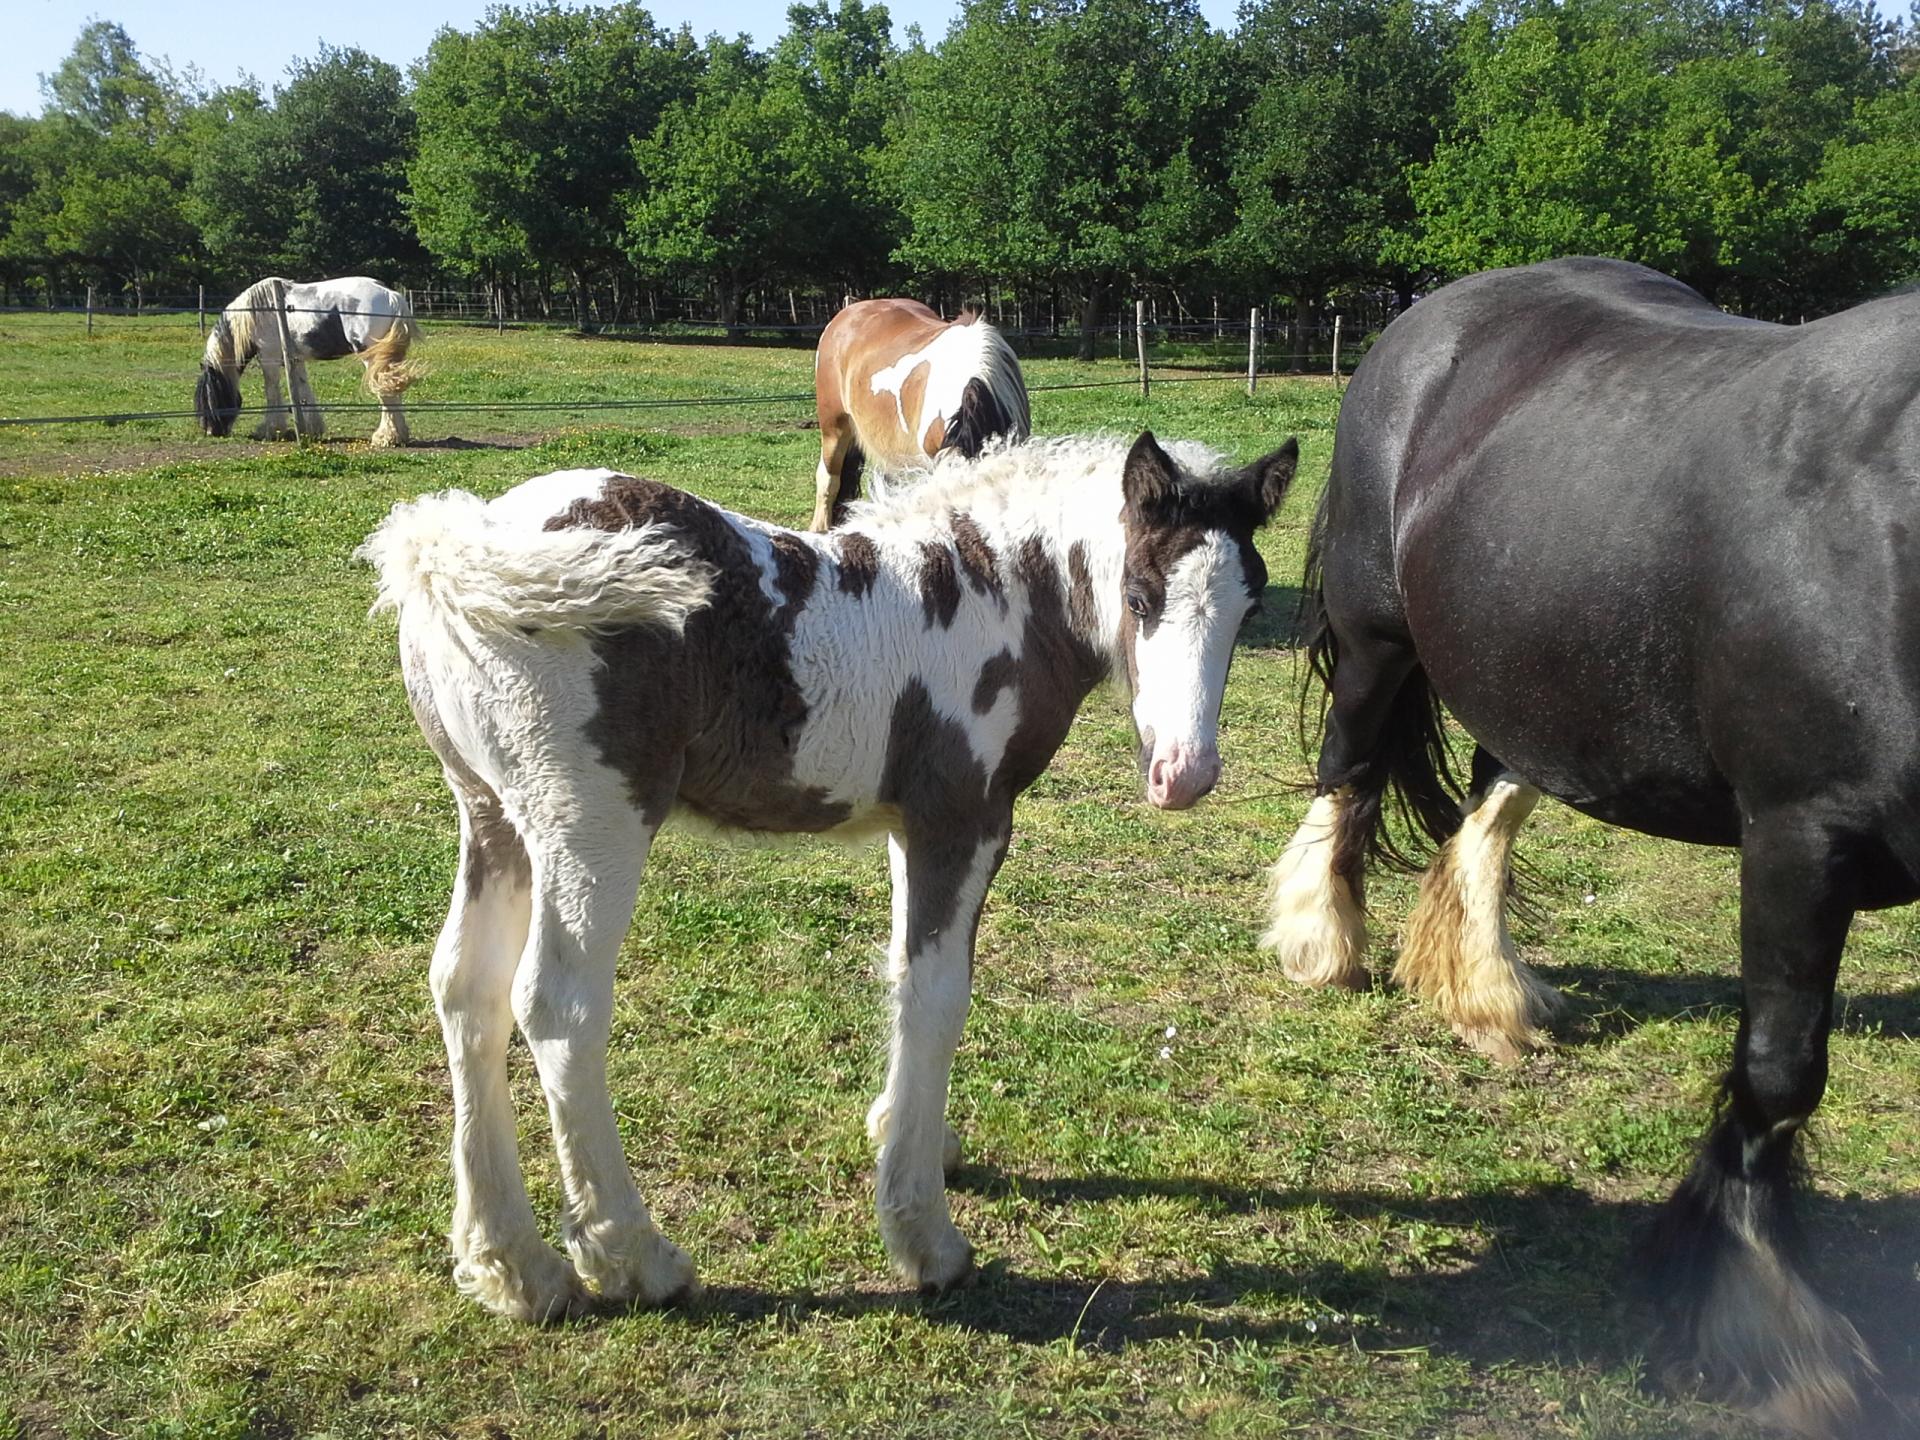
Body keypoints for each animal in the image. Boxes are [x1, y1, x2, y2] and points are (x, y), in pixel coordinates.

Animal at [194, 274, 420, 445]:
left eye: (209, 398)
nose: (210, 431)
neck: (257, 312)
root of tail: (391, 295)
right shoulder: (296, 360)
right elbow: (304, 392)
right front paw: (311, 430)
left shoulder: (268, 359)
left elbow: (272, 393)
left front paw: (270, 431)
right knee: (393, 390)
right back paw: (398, 435)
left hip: (372, 358)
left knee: (385, 392)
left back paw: (385, 438)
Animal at [362, 432, 1290, 1328]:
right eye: (1138, 595)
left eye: (1251, 605)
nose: (1185, 774)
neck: (994, 596)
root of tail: (461, 546)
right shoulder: (965, 818)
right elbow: (939, 993)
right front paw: (923, 1234)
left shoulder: (910, 825)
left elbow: (902, 974)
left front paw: (910, 1135)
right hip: (591, 819)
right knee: (559, 1007)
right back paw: (632, 1257)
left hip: (492, 814)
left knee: (465, 989)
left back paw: (514, 1268)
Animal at [1259, 257, 1920, 1436]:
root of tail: (1426, 320)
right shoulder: (1801, 837)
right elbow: (1778, 1074)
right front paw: (1766, 1334)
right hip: (1382, 641)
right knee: (1350, 776)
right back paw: (1322, 945)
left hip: (1541, 674)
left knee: (1491, 800)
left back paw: (1484, 990)